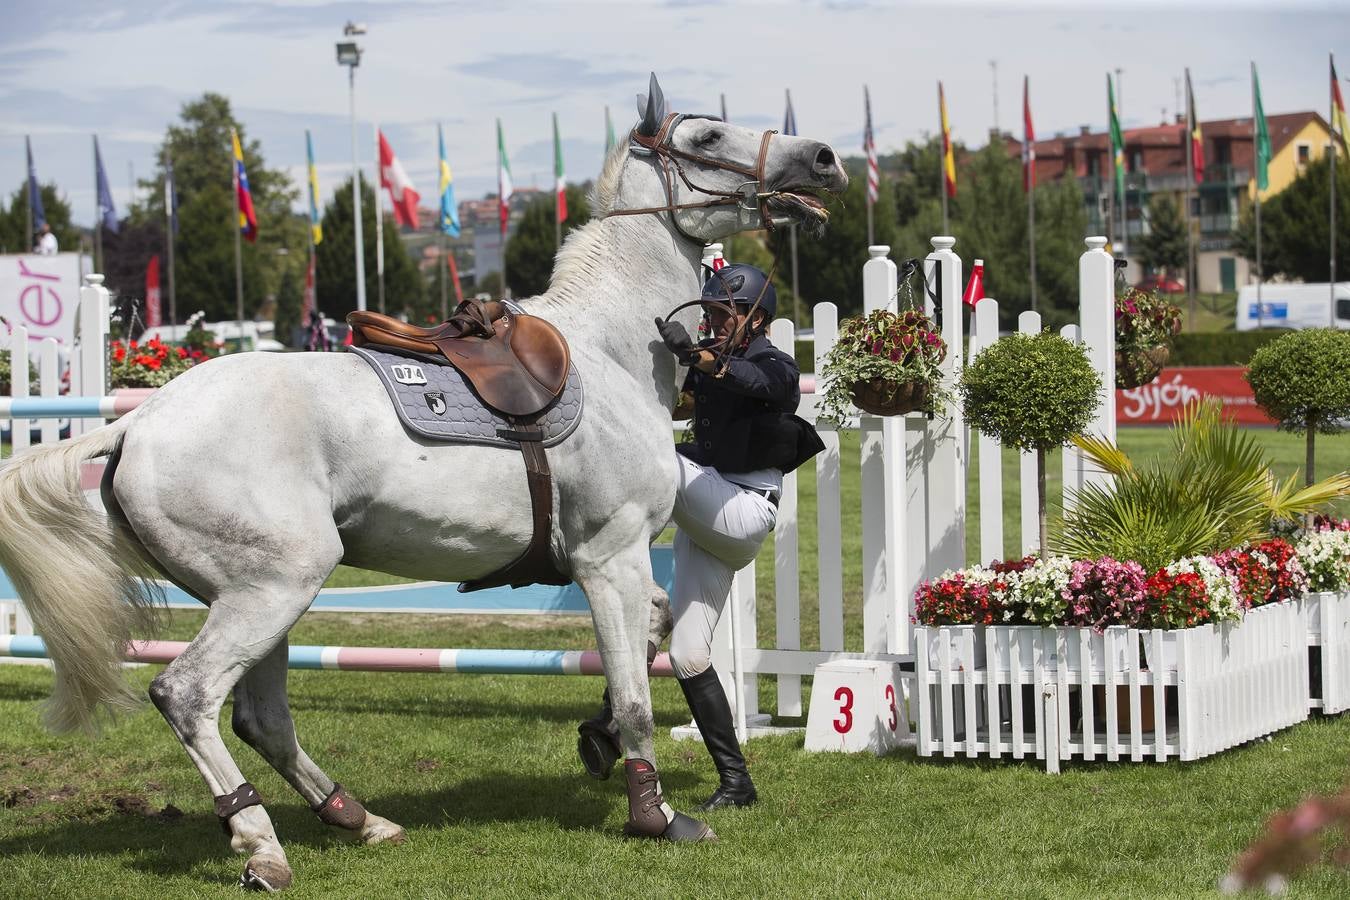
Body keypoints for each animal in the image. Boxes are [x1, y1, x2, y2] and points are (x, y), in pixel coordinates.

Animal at [0, 73, 842, 890]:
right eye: (708, 136)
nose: (825, 157)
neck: (610, 351)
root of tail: (139, 423)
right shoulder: (611, 557)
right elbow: (637, 696)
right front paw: (657, 815)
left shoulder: (625, 569)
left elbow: (652, 638)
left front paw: (599, 740)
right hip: (273, 590)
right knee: (189, 697)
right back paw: (261, 844)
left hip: (254, 597)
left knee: (261, 717)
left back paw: (357, 819)